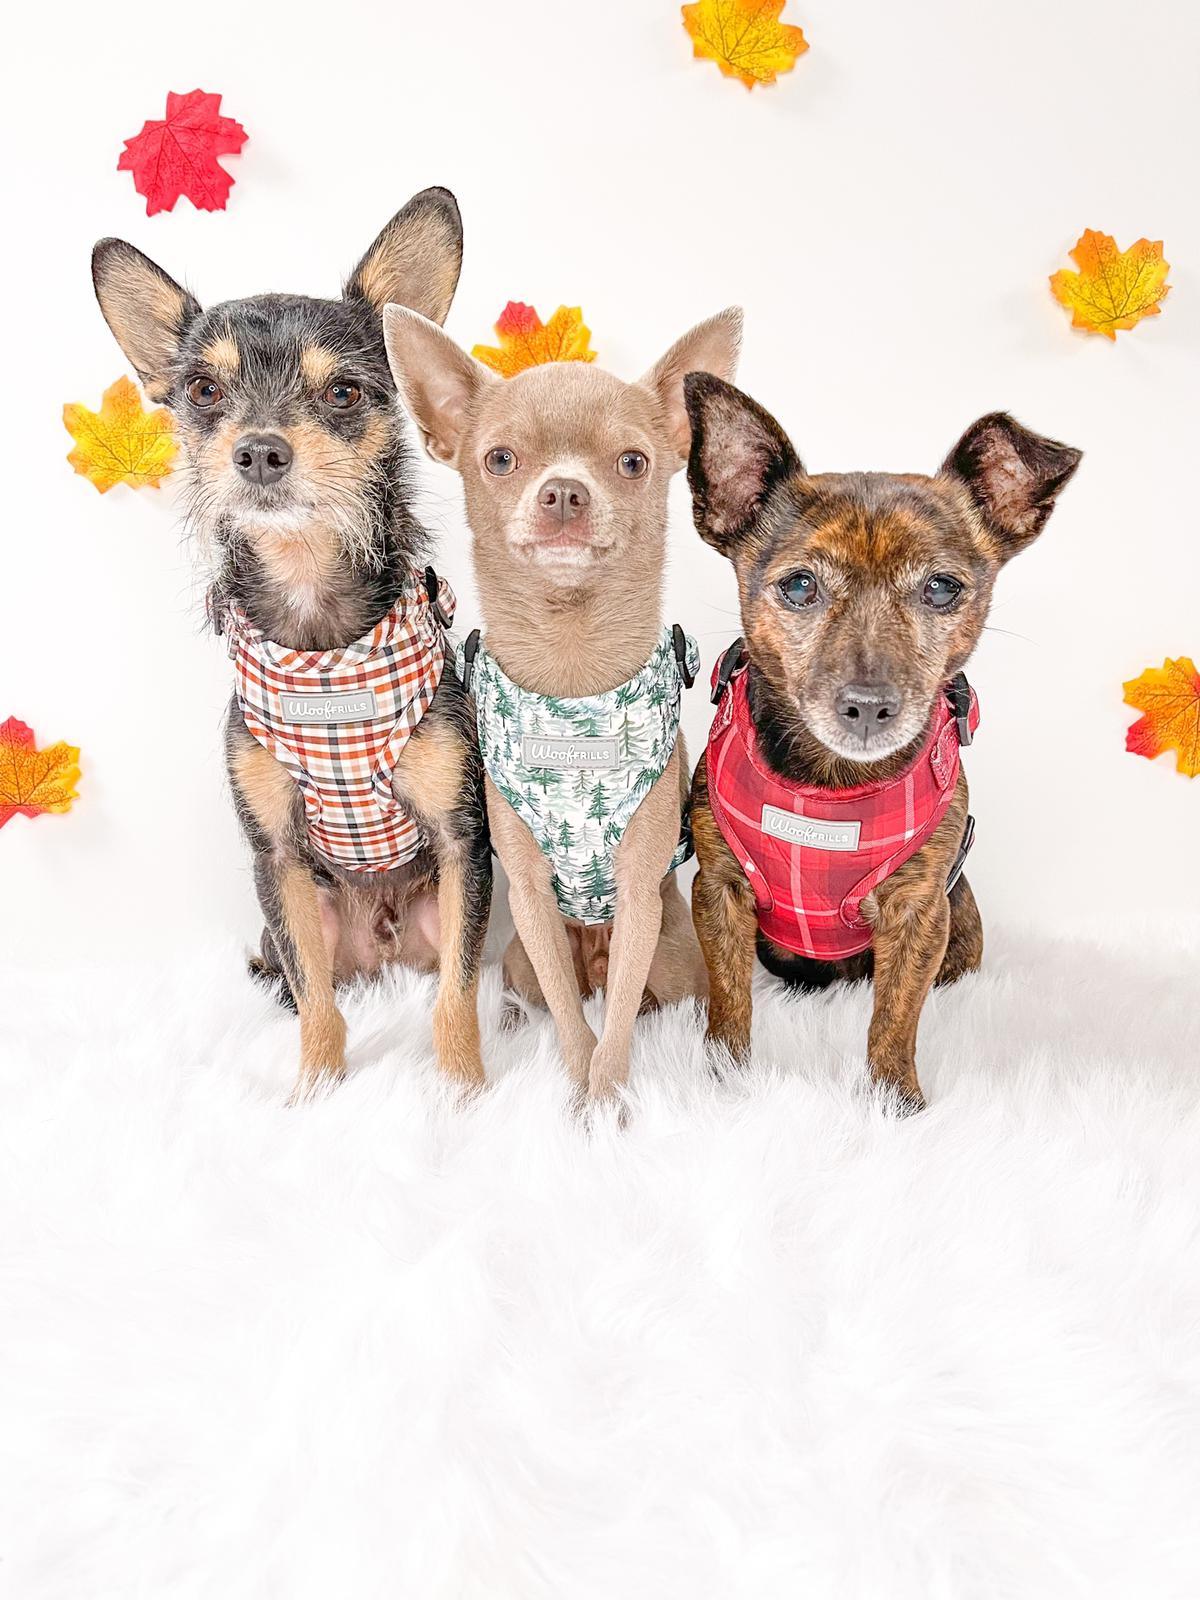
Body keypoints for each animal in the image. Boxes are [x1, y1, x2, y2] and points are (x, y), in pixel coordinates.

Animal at [89, 187, 492, 1100]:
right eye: (202, 389)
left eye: (343, 393)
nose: (261, 450)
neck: (323, 654)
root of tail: (383, 948)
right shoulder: (276, 857)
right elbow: (317, 1003)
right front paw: (315, 1090)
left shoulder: (463, 845)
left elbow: (457, 996)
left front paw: (464, 1091)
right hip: (296, 921)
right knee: (303, 977)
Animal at [681, 374, 1088, 1107]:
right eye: (799, 586)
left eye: (942, 588)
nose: (868, 707)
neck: (830, 787)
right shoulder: (720, 893)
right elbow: (729, 1003)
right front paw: (725, 1079)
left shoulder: (919, 913)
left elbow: (895, 1017)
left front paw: (892, 1099)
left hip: (962, 921)